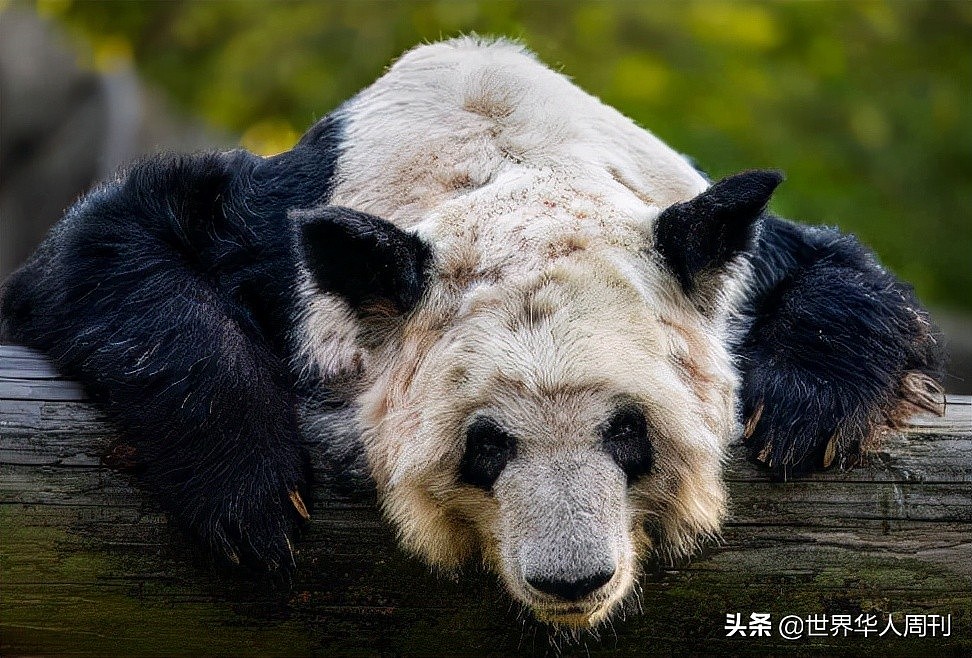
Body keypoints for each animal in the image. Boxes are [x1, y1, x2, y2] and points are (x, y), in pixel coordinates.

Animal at [0, 39, 940, 624]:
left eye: (627, 433)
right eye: (486, 445)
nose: (573, 579)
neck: (503, 153)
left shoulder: (701, 221)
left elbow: (845, 275)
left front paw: (804, 413)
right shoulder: (277, 236)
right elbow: (106, 249)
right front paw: (250, 491)